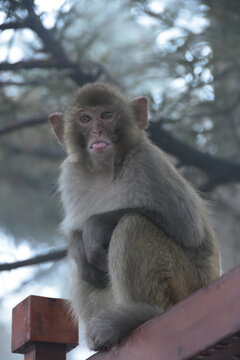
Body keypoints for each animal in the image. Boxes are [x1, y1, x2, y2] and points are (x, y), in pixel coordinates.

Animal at [49, 82, 220, 352]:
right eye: (85, 119)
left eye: (106, 115)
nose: (97, 131)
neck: (106, 169)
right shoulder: (70, 175)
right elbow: (77, 238)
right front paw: (77, 243)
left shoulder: (147, 161)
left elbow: (187, 229)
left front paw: (95, 226)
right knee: (83, 267)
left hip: (187, 285)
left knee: (132, 224)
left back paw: (142, 315)